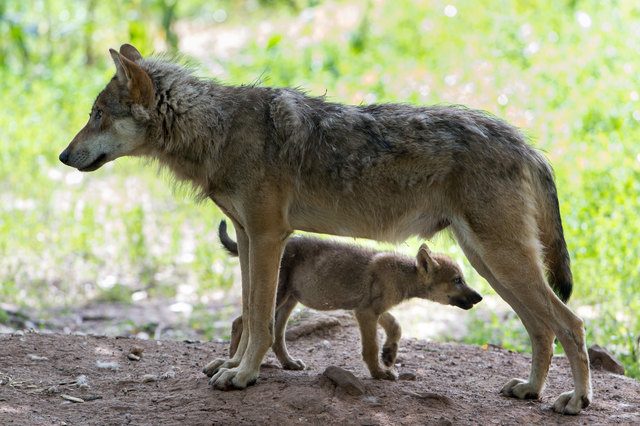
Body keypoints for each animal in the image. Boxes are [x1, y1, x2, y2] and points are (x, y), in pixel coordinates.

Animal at [58, 43, 592, 412]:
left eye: (97, 115)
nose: (62, 156)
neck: (220, 130)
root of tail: (527, 144)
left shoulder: (269, 238)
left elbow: (257, 316)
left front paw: (243, 375)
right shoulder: (248, 238)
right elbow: (249, 312)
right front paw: (234, 366)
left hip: (499, 261)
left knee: (571, 323)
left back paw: (575, 401)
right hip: (489, 265)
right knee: (542, 328)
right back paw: (530, 390)